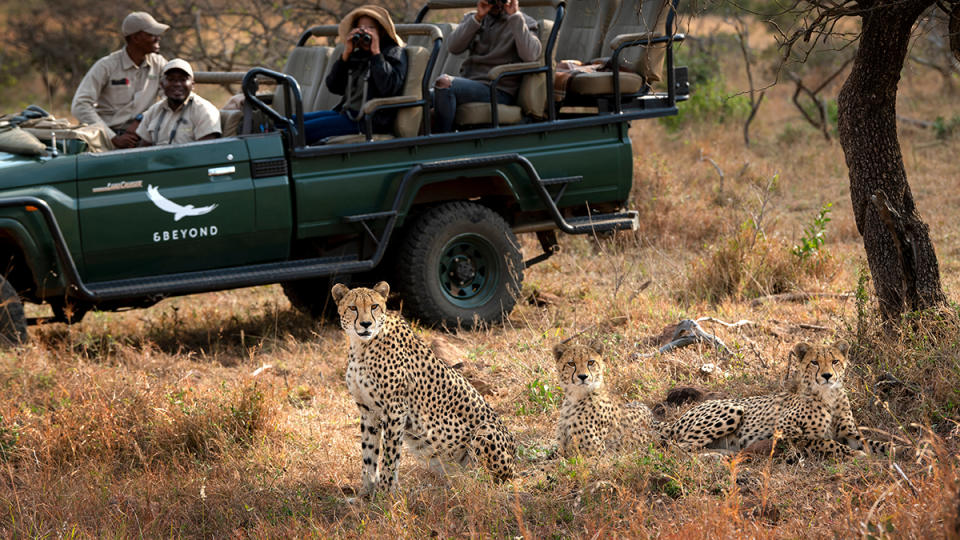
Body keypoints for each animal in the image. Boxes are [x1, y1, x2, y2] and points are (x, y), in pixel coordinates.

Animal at [332, 280, 516, 496]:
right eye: (353, 307)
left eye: (374, 306)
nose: (366, 324)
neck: (363, 345)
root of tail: (515, 463)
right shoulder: (368, 411)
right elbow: (369, 455)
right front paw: (366, 493)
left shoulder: (395, 409)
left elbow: (390, 456)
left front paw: (385, 493)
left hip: (485, 431)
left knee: (486, 481)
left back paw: (464, 486)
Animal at [660, 342, 892, 460]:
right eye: (815, 362)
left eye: (835, 361)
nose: (827, 376)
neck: (828, 396)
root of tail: (677, 419)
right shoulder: (785, 430)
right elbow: (826, 442)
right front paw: (856, 455)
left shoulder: (850, 433)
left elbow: (872, 442)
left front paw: (896, 449)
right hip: (734, 408)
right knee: (678, 448)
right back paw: (715, 456)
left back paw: (725, 452)